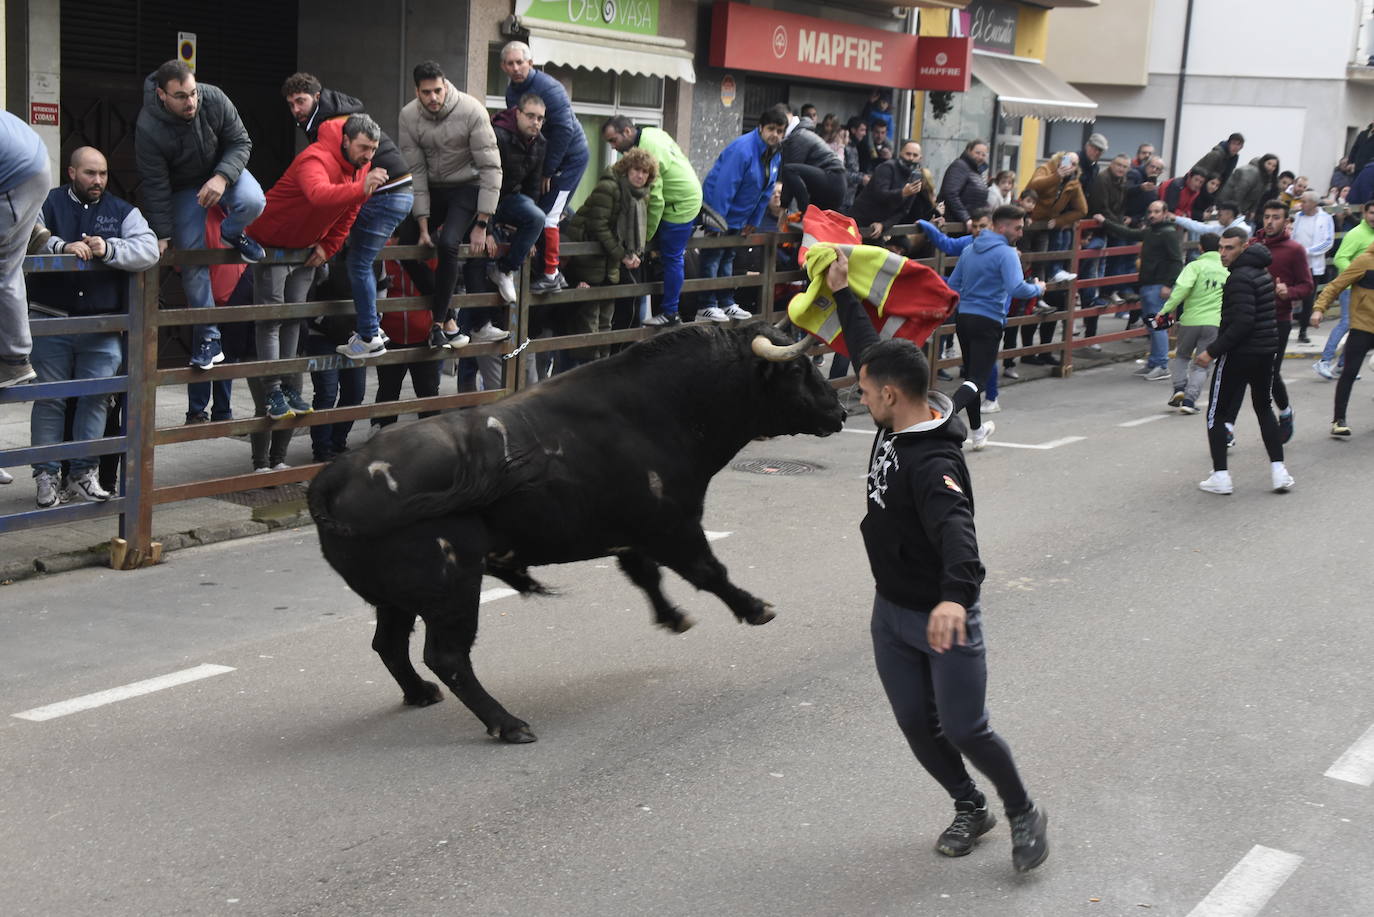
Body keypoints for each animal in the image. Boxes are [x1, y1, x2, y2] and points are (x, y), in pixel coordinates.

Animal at [309, 323, 846, 747]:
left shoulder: (633, 533)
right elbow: (707, 570)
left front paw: (674, 617)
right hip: (453, 588)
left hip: (396, 599)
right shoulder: (673, 524)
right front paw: (756, 608)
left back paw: (421, 694)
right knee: (446, 656)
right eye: (800, 369)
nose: (839, 411)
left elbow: (646, 575)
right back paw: (508, 723)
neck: (660, 408)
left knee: (390, 645)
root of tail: (335, 476)